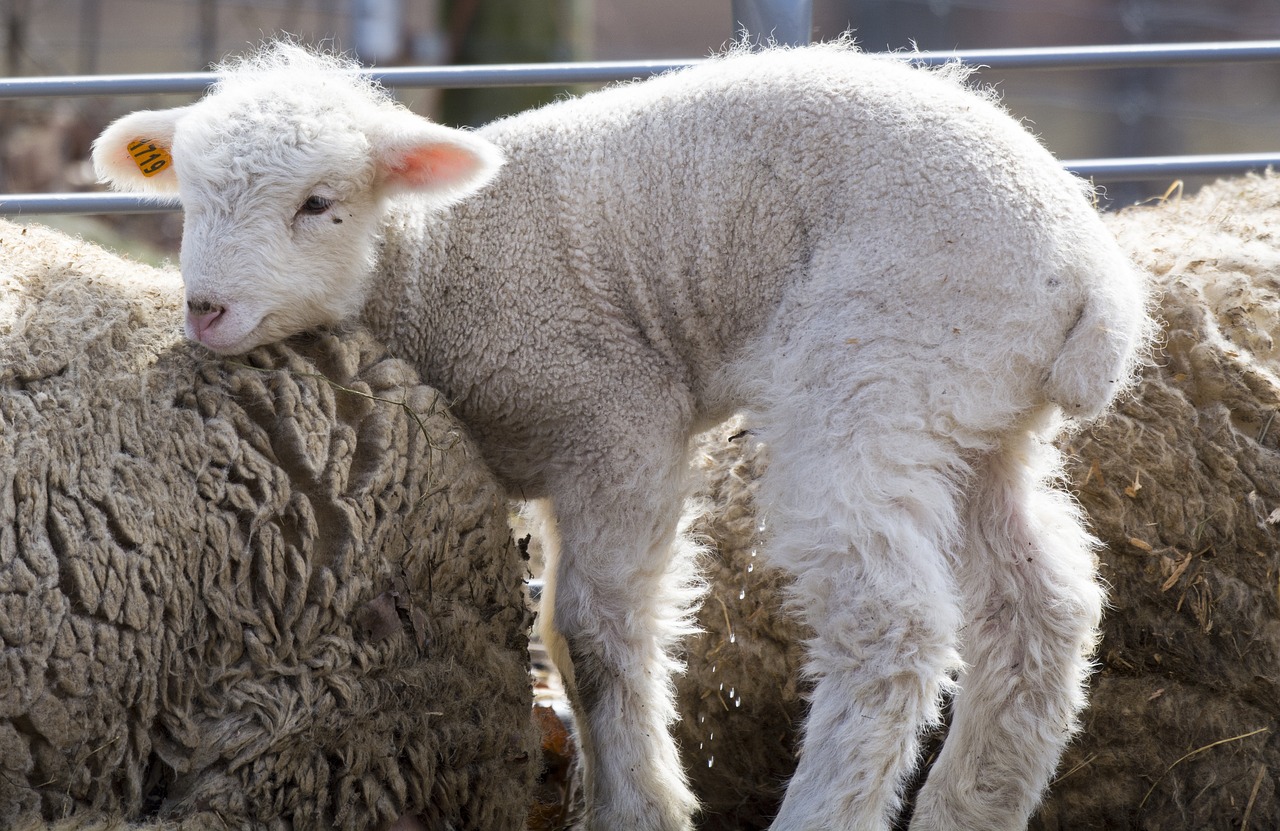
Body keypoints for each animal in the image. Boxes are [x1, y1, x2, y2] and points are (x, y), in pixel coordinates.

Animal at [92, 40, 1152, 829]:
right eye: (187, 196)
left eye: (318, 203)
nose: (206, 311)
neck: (440, 259)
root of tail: (1088, 271)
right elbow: (567, 645)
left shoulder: (616, 421)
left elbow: (594, 636)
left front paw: (637, 804)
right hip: (970, 411)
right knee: (1042, 609)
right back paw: (974, 804)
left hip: (874, 375)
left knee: (889, 627)